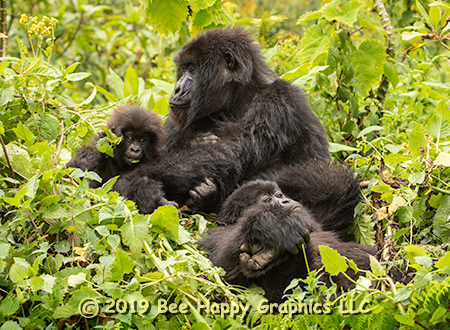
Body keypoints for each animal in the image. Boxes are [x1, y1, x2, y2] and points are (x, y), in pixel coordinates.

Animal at [114, 26, 328, 214]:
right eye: (183, 68)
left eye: (191, 69)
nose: (177, 89)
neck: (240, 92)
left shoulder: (278, 100)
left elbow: (227, 153)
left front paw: (132, 183)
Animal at [200, 180, 376, 304]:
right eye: (268, 200)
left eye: (279, 195)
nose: (286, 200)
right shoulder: (217, 234)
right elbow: (218, 267)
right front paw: (273, 225)